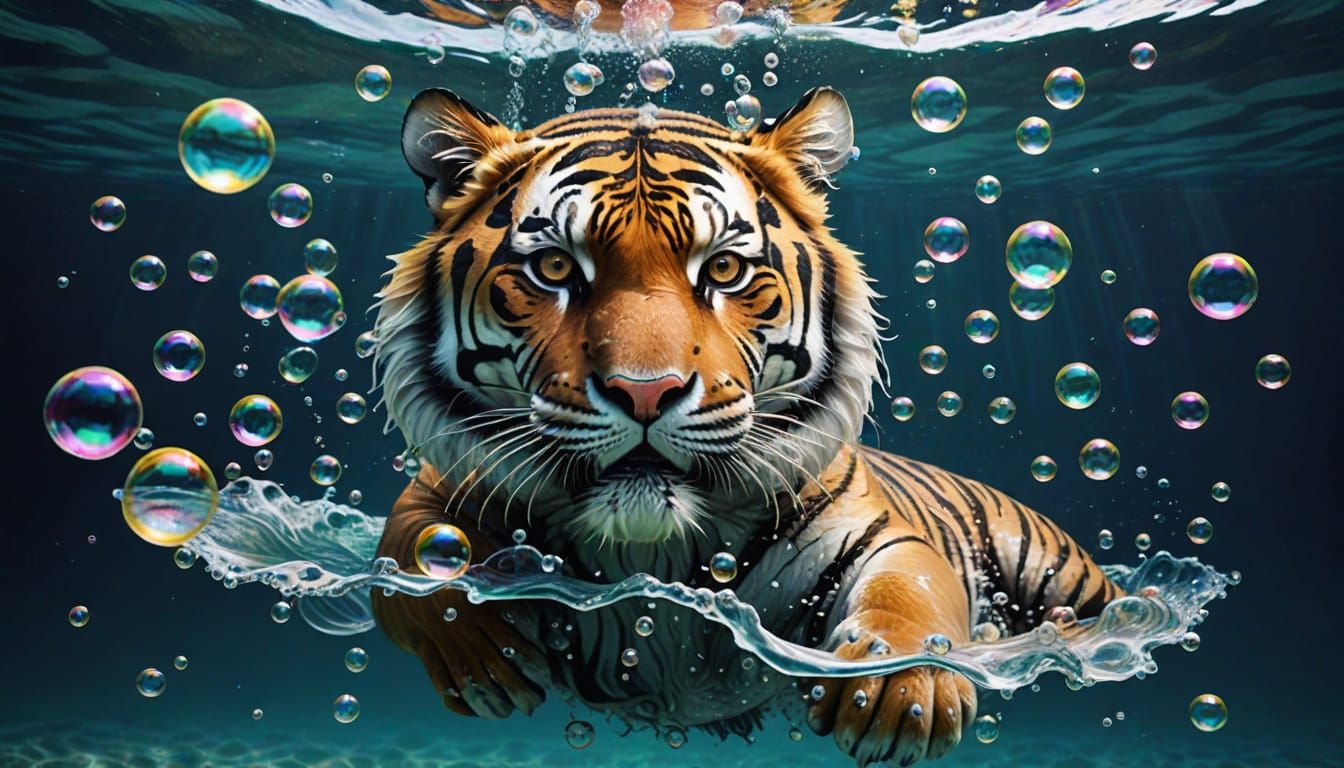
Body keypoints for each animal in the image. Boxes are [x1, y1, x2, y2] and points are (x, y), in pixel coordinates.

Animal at [368, 86, 1123, 766]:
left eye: (724, 269)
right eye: (554, 266)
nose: (646, 391)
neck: (652, 553)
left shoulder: (873, 532)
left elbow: (908, 587)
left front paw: (900, 688)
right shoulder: (440, 488)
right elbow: (404, 558)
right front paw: (476, 653)